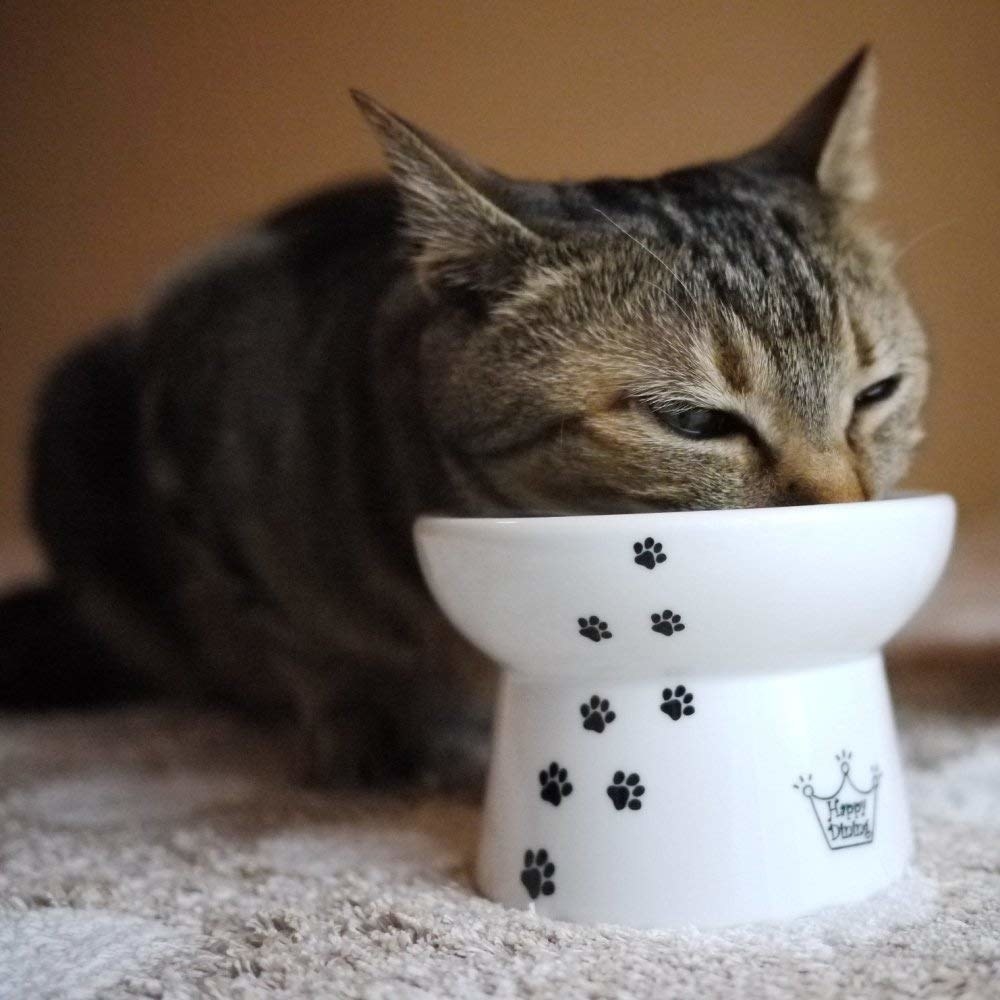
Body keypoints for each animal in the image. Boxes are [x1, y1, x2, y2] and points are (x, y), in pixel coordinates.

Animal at [5, 48, 928, 788]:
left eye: (876, 393)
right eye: (694, 424)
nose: (846, 517)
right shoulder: (197, 453)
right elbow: (302, 642)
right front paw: (360, 723)